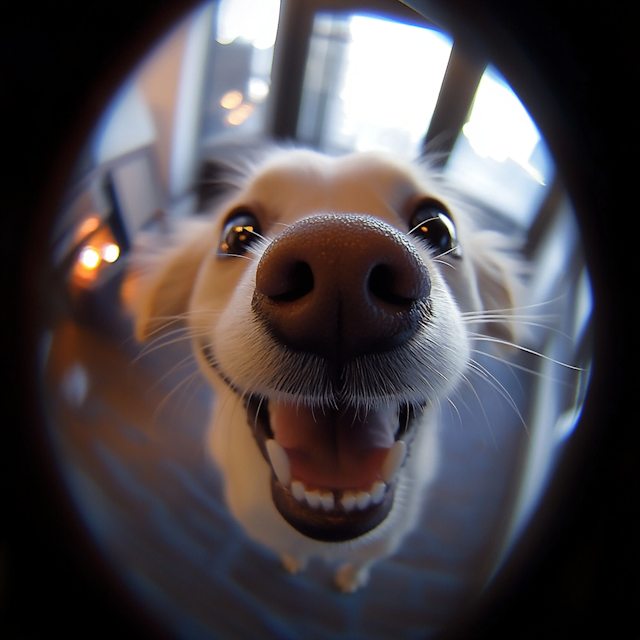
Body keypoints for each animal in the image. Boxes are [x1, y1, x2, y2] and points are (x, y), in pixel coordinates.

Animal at [125, 148, 524, 592]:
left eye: (439, 228)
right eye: (237, 232)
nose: (340, 258)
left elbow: (362, 561)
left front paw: (351, 578)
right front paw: (293, 561)